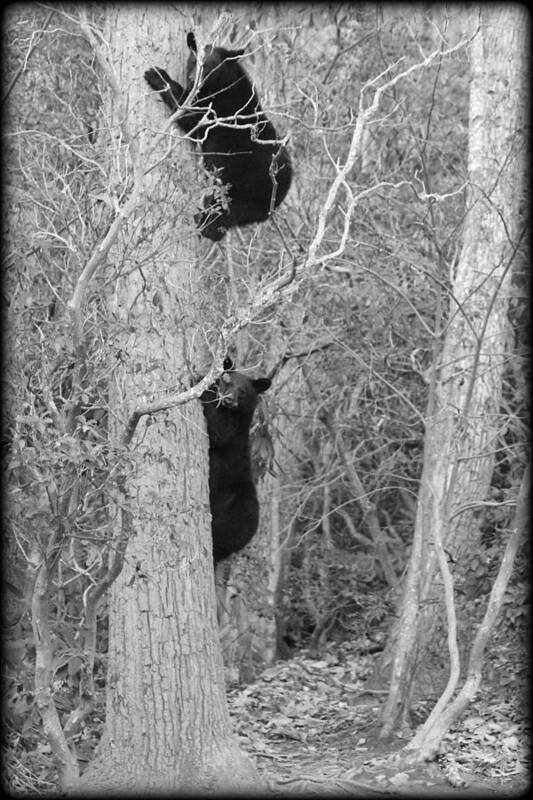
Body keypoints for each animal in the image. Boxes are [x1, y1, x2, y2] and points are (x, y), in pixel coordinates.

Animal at [143, 31, 290, 242]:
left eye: (209, 66)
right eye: (193, 62)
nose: (192, 79)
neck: (224, 81)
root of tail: (280, 194)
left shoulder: (215, 108)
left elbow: (188, 114)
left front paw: (158, 76)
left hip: (242, 191)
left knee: (223, 212)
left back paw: (205, 224)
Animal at [202, 356, 272, 564]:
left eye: (243, 391)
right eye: (228, 382)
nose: (228, 399)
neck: (233, 413)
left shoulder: (235, 430)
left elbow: (219, 431)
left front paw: (201, 385)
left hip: (239, 508)